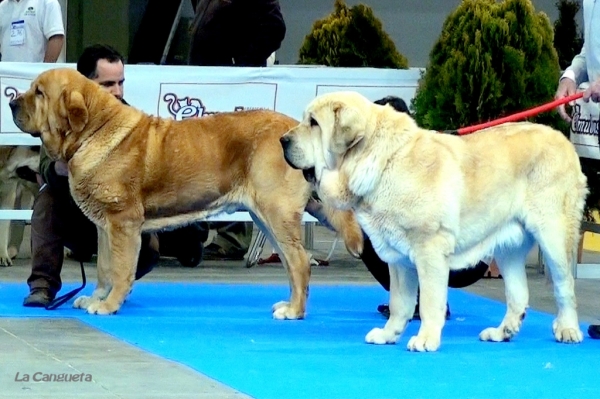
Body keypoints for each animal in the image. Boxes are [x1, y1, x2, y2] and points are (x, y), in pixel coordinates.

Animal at [10, 68, 366, 318]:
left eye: (39, 92)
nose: (12, 101)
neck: (93, 130)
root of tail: (295, 133)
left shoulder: (123, 223)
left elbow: (121, 268)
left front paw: (109, 305)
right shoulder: (105, 227)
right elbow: (105, 268)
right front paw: (96, 297)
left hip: (276, 213)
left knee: (300, 262)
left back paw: (294, 312)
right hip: (265, 218)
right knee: (293, 265)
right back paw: (288, 305)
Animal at [282, 91, 584, 354]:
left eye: (314, 123)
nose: (283, 140)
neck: (381, 161)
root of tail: (564, 141)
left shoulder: (430, 251)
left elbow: (428, 300)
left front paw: (426, 339)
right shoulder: (398, 259)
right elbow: (400, 303)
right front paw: (388, 334)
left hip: (553, 238)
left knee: (565, 286)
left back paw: (568, 329)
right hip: (508, 248)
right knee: (518, 295)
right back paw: (502, 332)